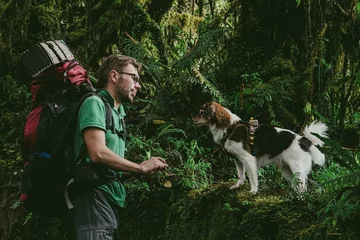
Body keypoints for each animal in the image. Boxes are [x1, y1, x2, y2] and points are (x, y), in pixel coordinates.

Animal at [193, 101, 328, 193]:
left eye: (201, 113)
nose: (192, 120)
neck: (230, 128)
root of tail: (303, 139)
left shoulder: (248, 159)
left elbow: (252, 177)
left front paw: (253, 191)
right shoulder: (238, 159)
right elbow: (240, 175)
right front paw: (238, 185)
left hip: (296, 167)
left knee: (303, 186)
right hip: (287, 170)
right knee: (298, 185)